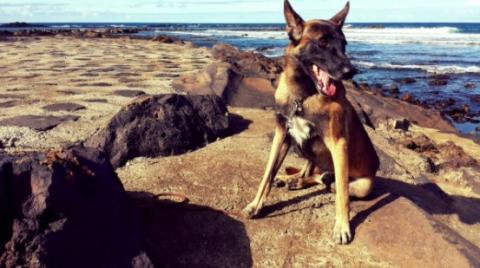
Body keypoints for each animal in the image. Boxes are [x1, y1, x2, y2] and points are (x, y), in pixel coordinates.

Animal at [244, 0, 378, 244]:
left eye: (344, 44)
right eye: (322, 42)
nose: (351, 72)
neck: (303, 95)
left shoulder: (338, 144)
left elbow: (342, 194)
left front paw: (342, 226)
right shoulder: (282, 135)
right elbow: (267, 173)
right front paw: (256, 204)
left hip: (363, 184)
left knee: (329, 181)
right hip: (306, 150)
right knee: (312, 173)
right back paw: (291, 179)